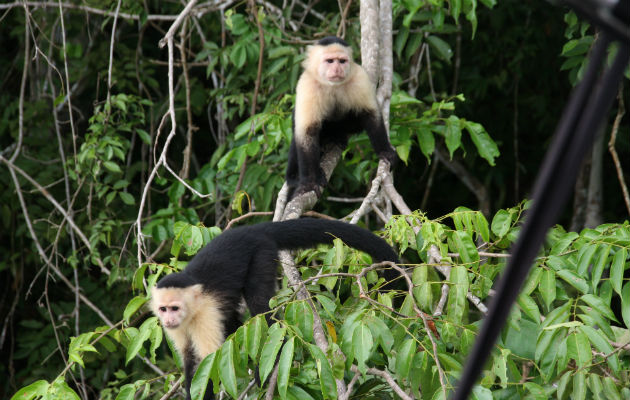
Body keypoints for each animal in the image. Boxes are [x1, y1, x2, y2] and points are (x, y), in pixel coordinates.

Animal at [152, 219, 400, 400]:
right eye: (163, 309)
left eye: (175, 308)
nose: (168, 320)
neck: (191, 313)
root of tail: (253, 228)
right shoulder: (179, 328)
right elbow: (190, 361)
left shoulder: (205, 315)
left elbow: (208, 363)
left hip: (262, 254)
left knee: (260, 304)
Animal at [288, 36, 400, 199]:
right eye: (330, 61)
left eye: (342, 61)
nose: (337, 69)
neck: (332, 85)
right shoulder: (307, 85)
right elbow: (307, 132)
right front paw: (309, 183)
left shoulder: (360, 78)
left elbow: (371, 115)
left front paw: (385, 151)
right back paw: (294, 176)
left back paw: (335, 136)